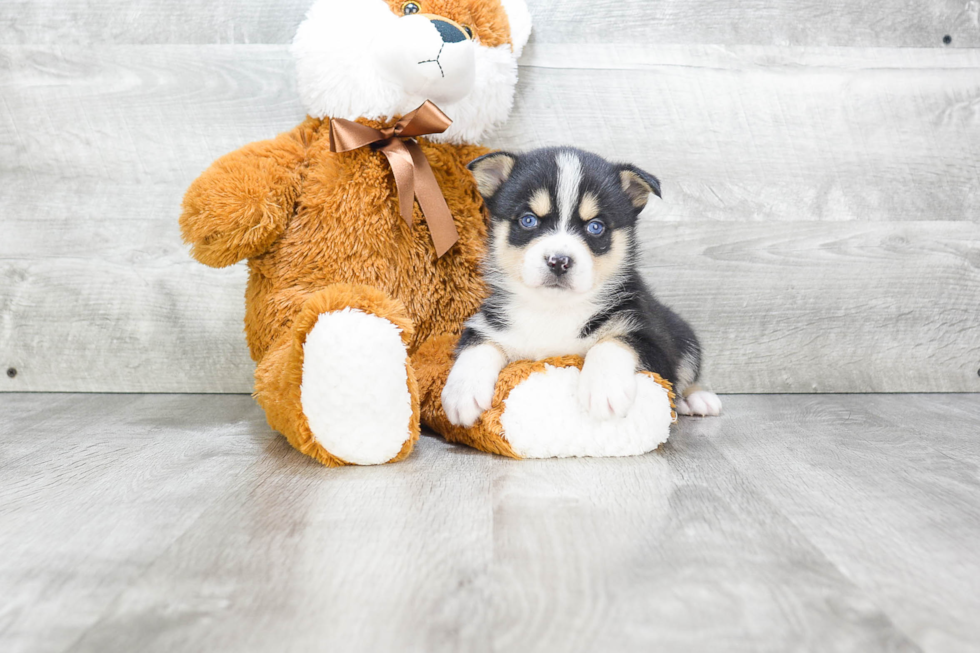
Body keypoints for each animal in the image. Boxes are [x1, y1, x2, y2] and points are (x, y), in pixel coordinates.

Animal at [442, 145, 720, 426]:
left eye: (595, 226)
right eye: (528, 220)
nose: (558, 261)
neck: (554, 310)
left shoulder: (653, 341)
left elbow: (613, 342)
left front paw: (604, 390)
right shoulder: (487, 323)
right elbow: (478, 345)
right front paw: (461, 394)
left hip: (682, 332)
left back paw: (697, 398)